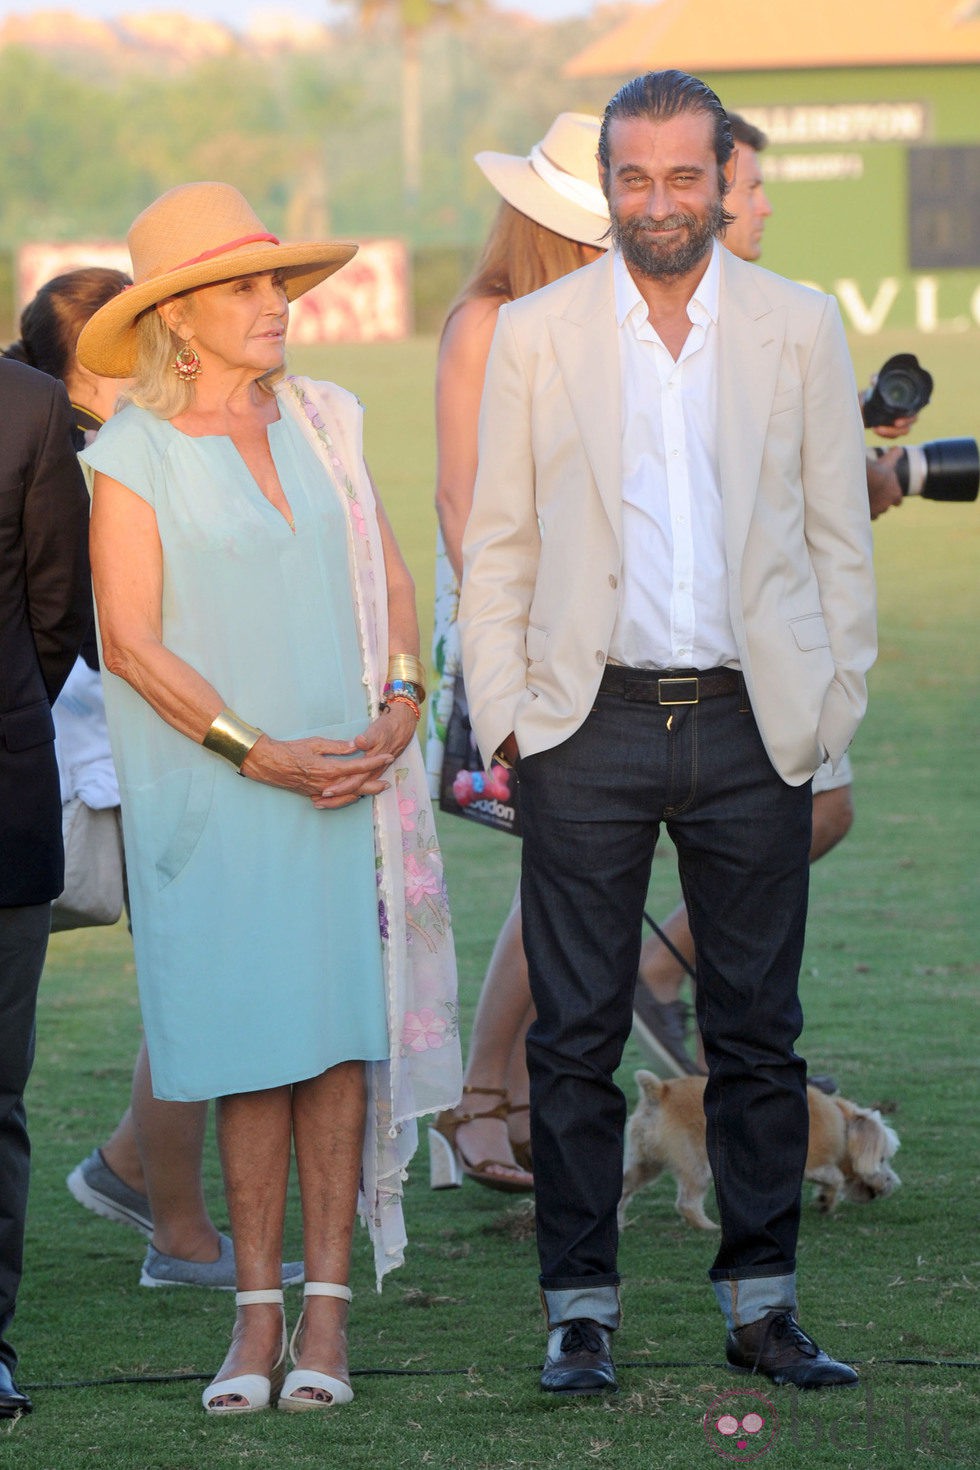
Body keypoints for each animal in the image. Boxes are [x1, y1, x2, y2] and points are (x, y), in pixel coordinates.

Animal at [625, 1070, 899, 1228]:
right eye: (882, 1159)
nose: (891, 1184)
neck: (842, 1124)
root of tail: (659, 1092)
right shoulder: (812, 1163)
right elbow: (835, 1177)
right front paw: (826, 1201)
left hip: (645, 1164)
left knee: (623, 1191)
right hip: (697, 1165)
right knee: (687, 1203)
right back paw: (709, 1228)